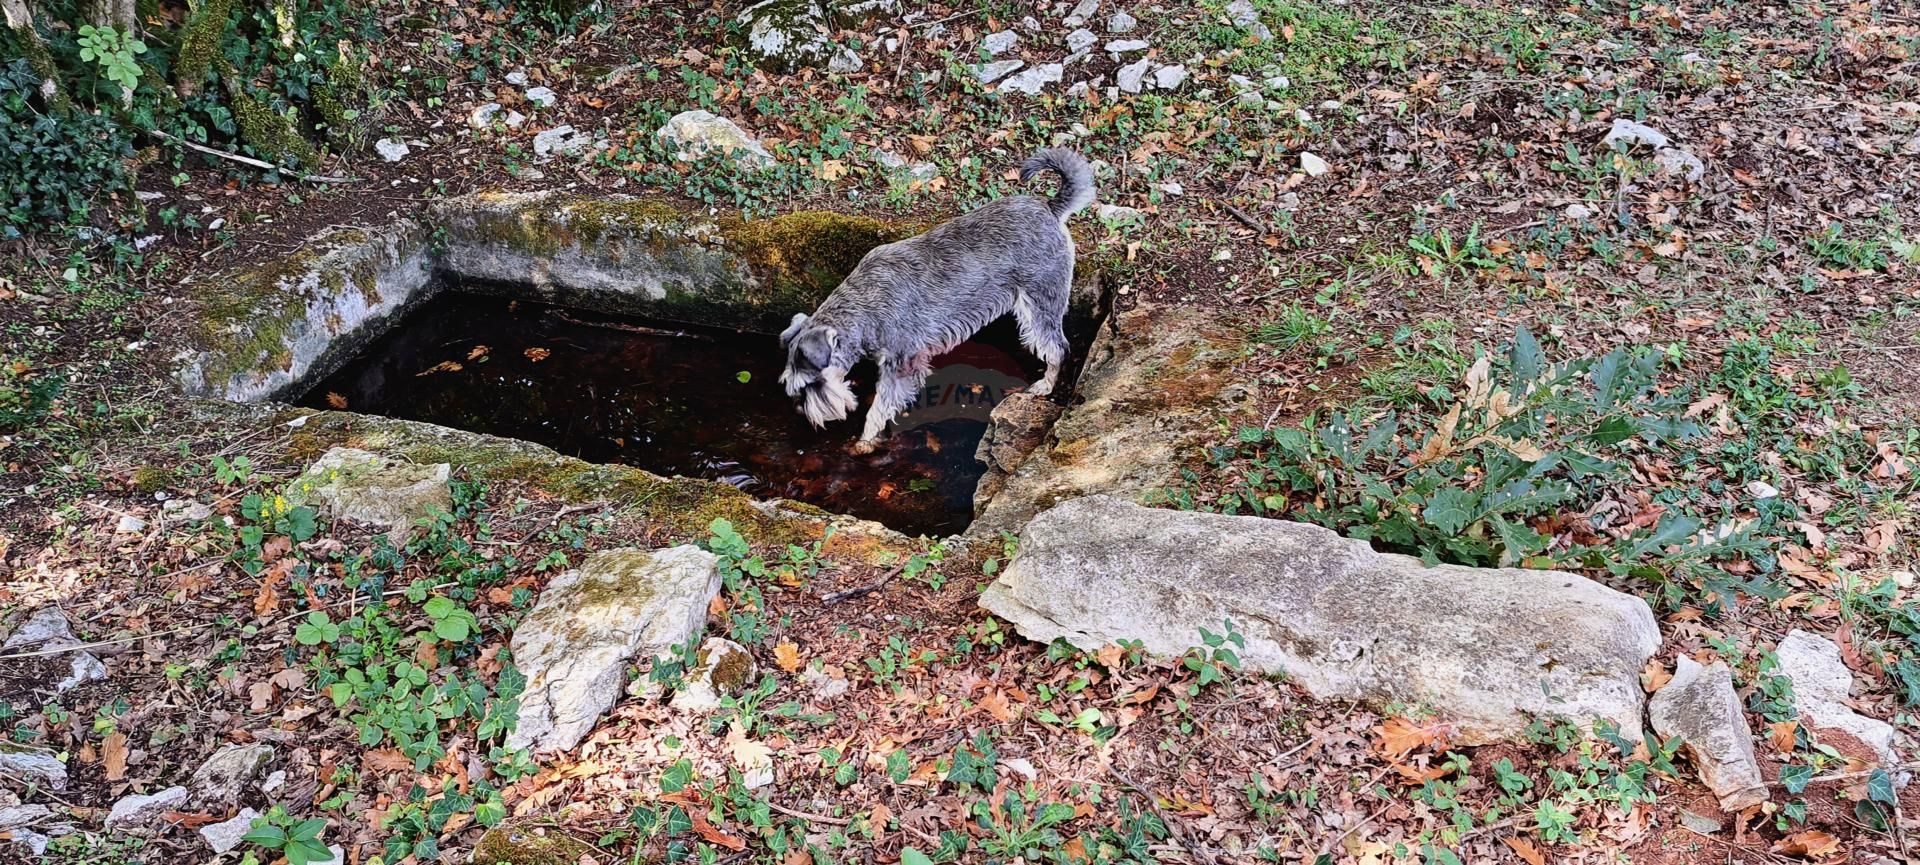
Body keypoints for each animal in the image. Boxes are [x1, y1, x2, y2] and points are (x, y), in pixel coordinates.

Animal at [771, 147, 1090, 460]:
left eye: (813, 383)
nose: (801, 409)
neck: (862, 307)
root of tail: (1049, 208)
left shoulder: (902, 364)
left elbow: (879, 407)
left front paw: (865, 440)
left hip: (1040, 303)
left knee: (1057, 347)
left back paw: (1046, 385)